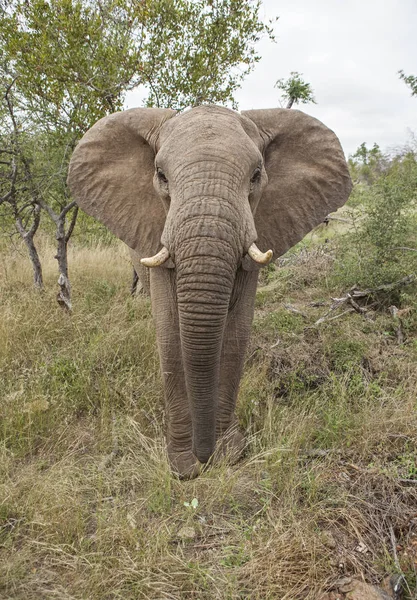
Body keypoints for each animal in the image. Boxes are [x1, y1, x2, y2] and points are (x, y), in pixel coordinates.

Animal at [67, 104, 352, 478]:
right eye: (161, 176)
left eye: (256, 175)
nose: (205, 457)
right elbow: (170, 335)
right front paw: (183, 467)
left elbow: (235, 336)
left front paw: (229, 454)